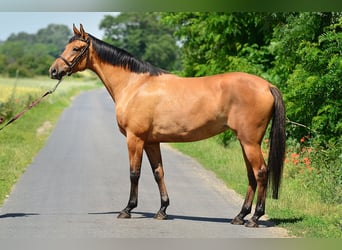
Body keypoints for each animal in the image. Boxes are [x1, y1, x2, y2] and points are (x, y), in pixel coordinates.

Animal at [48, 24, 286, 228]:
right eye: (67, 46)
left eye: (76, 48)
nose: (53, 71)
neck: (135, 85)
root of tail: (267, 85)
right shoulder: (152, 141)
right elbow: (158, 173)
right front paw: (162, 210)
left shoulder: (135, 138)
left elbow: (134, 173)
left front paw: (128, 209)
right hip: (245, 141)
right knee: (251, 175)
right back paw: (240, 215)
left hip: (250, 141)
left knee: (261, 172)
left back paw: (255, 217)